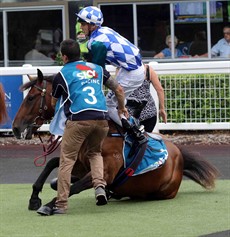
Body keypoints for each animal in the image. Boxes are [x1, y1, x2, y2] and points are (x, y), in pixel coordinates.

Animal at [11, 68, 218, 213]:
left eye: (30, 98)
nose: (15, 128)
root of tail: (179, 155)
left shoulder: (105, 171)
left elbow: (74, 187)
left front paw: (49, 205)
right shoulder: (82, 164)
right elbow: (53, 164)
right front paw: (34, 197)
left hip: (163, 191)